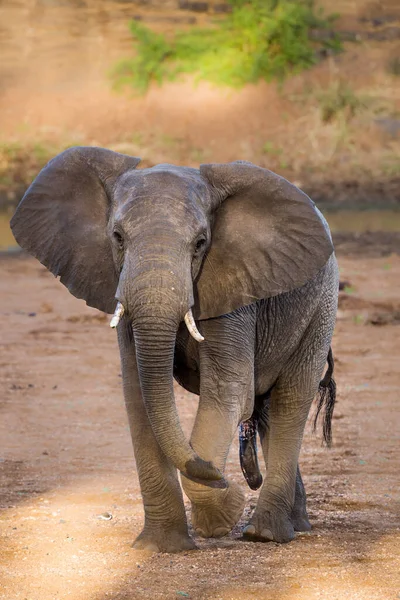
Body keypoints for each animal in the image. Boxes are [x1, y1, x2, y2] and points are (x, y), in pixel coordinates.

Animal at [10, 146, 338, 552]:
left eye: (200, 243)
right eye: (117, 237)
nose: (226, 477)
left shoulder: (233, 292)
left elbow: (228, 392)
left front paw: (220, 514)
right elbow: (139, 395)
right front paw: (161, 547)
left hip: (321, 307)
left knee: (291, 399)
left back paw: (266, 534)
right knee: (267, 414)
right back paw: (292, 525)